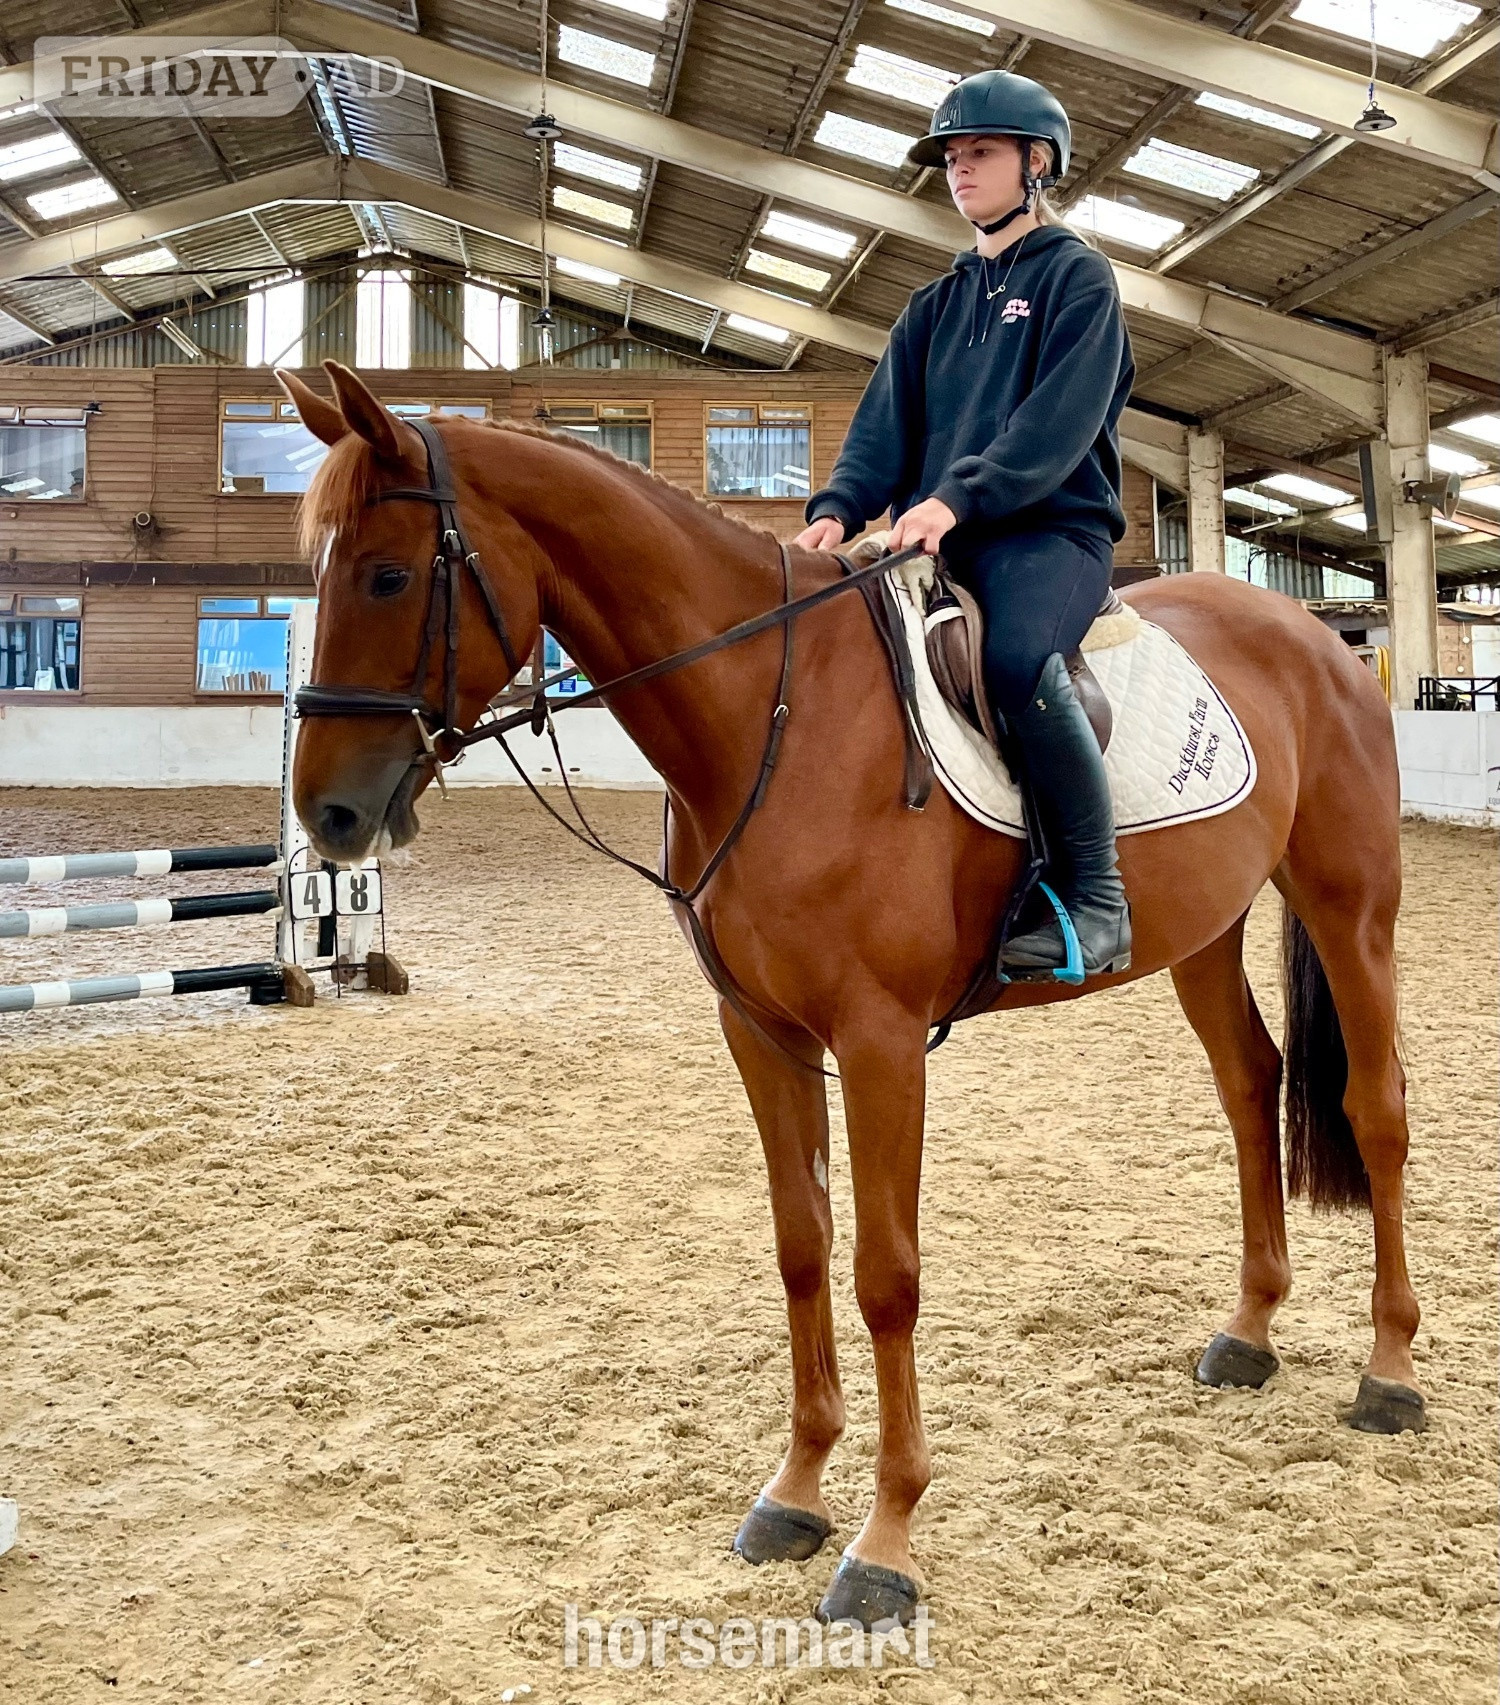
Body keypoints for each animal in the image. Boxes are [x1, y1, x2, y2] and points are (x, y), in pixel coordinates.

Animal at [277, 359, 1423, 1629]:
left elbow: (886, 1276)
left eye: (386, 575)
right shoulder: (762, 1033)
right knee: (1249, 1084)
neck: (769, 714)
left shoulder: (880, 1041)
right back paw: (1251, 1330)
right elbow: (803, 1248)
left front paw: (885, 1541)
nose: (329, 815)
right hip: (1206, 933)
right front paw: (794, 1491)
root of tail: (1319, 636)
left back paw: (1390, 1374)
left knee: (1376, 1108)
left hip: (1350, 908)